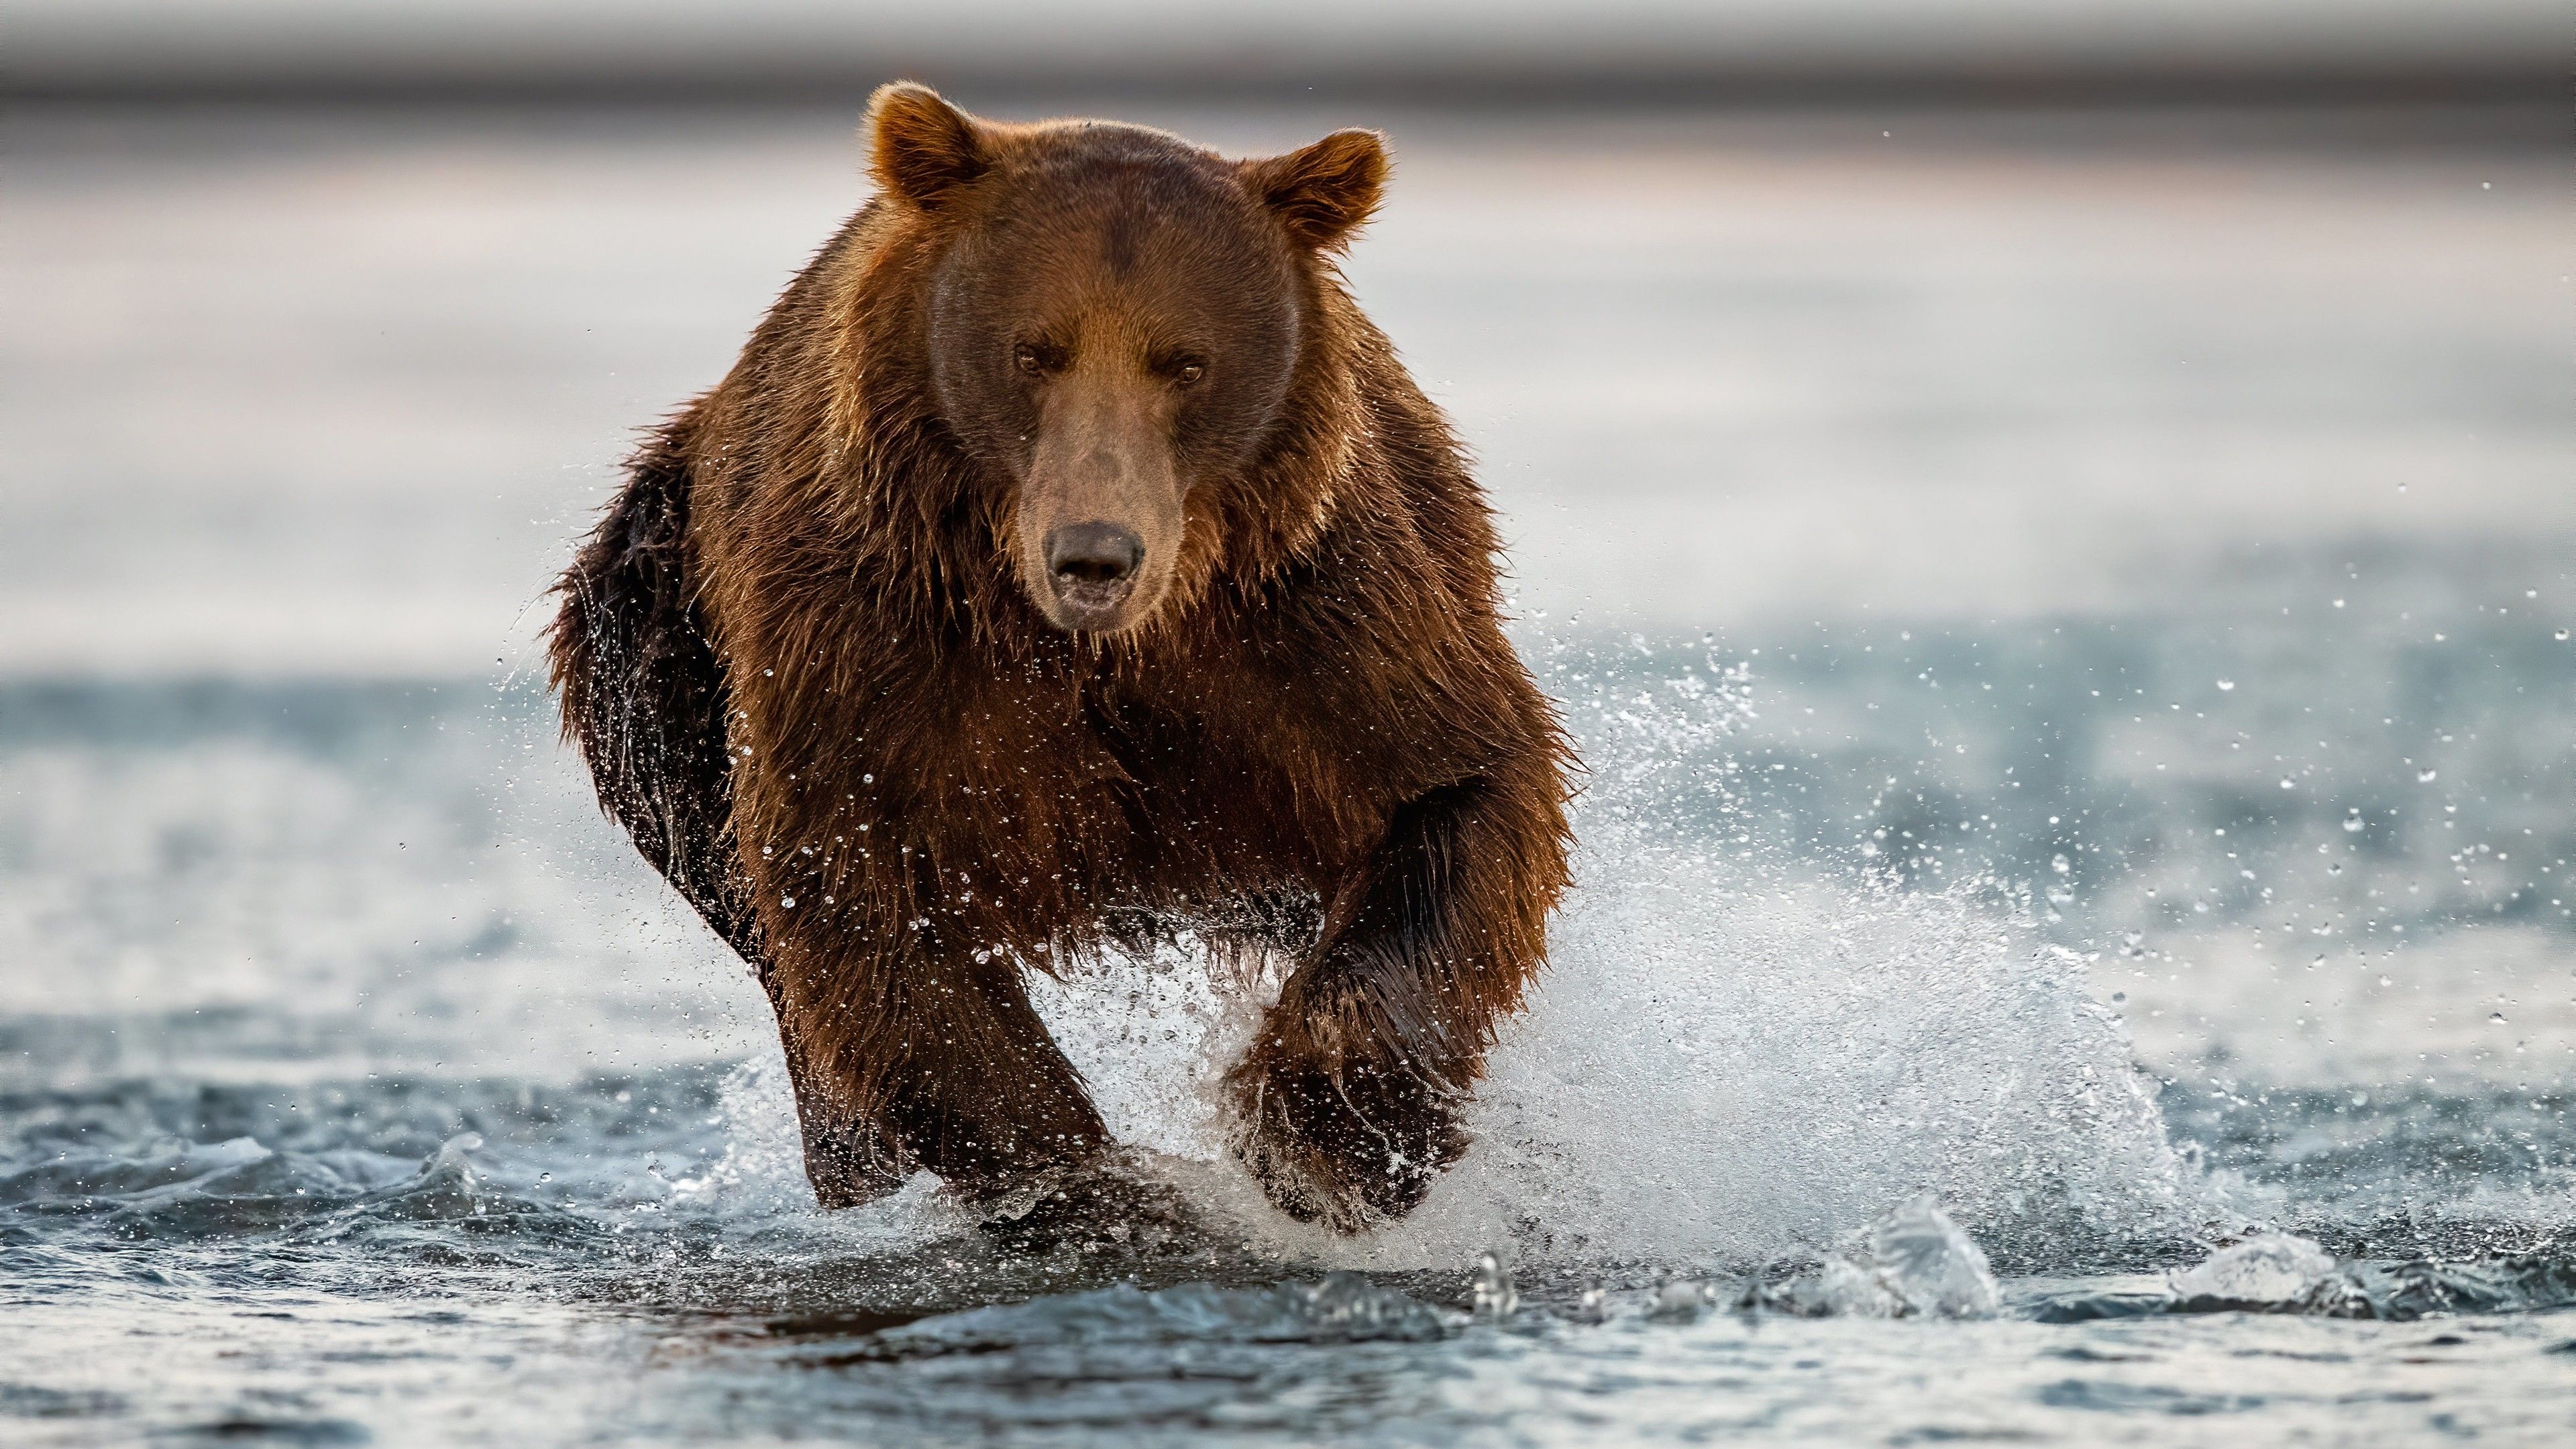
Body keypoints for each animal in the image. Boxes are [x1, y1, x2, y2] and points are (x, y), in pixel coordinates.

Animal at [548, 84, 1566, 1222]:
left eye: (1187, 362)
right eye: (1034, 352)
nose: (1095, 555)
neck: (1097, 648)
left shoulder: (1310, 627)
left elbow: (1458, 793)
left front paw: (1330, 1137)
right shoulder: (872, 644)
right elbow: (868, 905)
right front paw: (1093, 1186)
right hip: (657, 613)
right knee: (701, 834)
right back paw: (852, 1146)